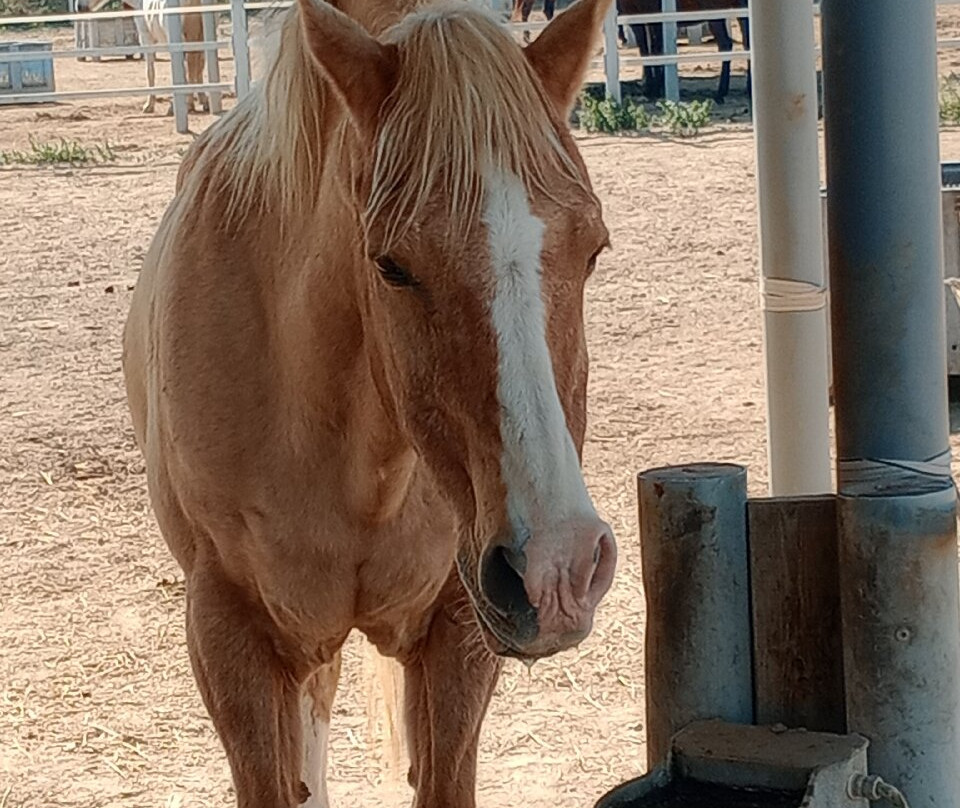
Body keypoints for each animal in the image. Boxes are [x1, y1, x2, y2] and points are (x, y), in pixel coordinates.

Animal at [618, 0, 750, 103]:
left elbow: (655, 50)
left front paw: (656, 88)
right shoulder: (637, 17)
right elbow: (646, 51)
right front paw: (653, 88)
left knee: (728, 44)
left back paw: (721, 93)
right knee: (740, 43)